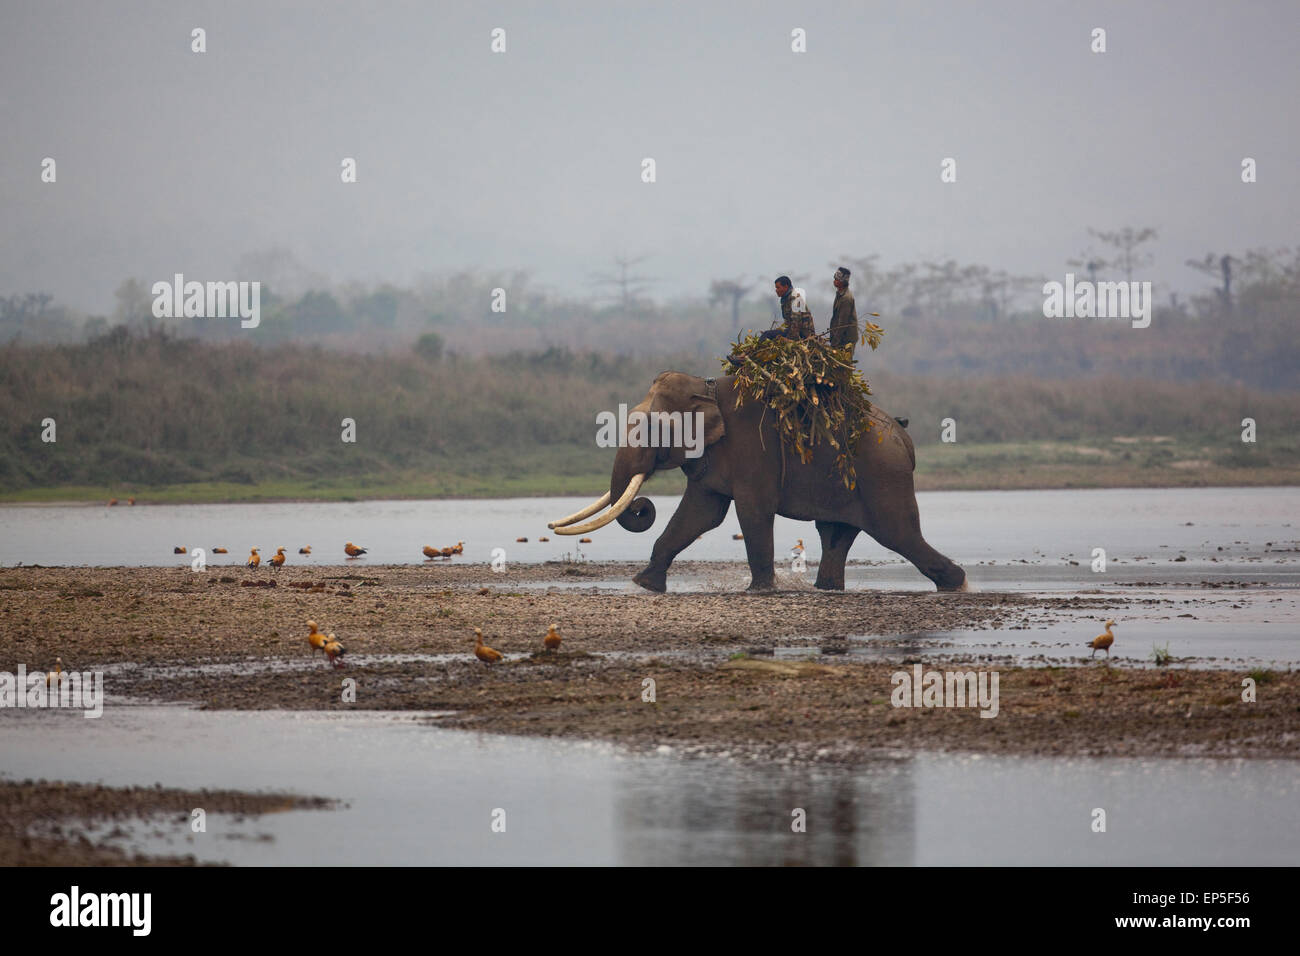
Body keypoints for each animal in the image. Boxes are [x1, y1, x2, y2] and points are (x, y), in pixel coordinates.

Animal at [548, 371, 967, 590]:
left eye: (651, 428)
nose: (641, 505)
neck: (705, 388)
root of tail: (904, 436)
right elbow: (699, 514)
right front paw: (643, 584)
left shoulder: (752, 446)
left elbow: (751, 511)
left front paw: (759, 591)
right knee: (835, 532)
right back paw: (827, 589)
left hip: (883, 473)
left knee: (898, 533)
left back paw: (957, 583)